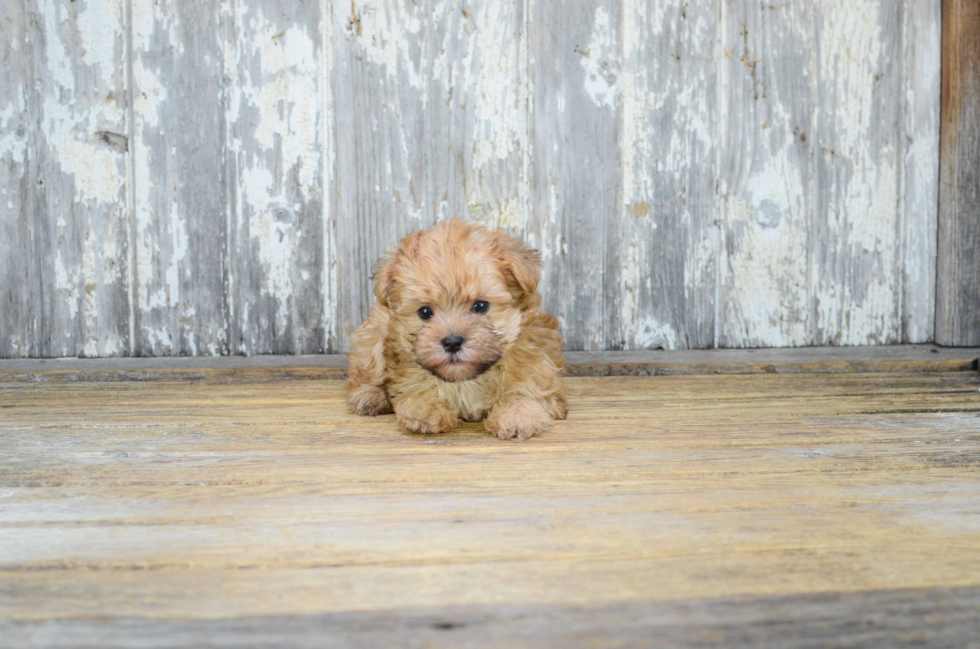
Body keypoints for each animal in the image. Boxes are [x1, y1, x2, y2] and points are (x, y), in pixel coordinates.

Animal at [350, 219, 568, 440]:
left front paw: (517, 414)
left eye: (480, 306)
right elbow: (418, 389)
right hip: (375, 330)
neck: (466, 377)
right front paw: (426, 409)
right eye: (425, 312)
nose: (452, 342)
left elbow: (522, 391)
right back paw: (370, 395)